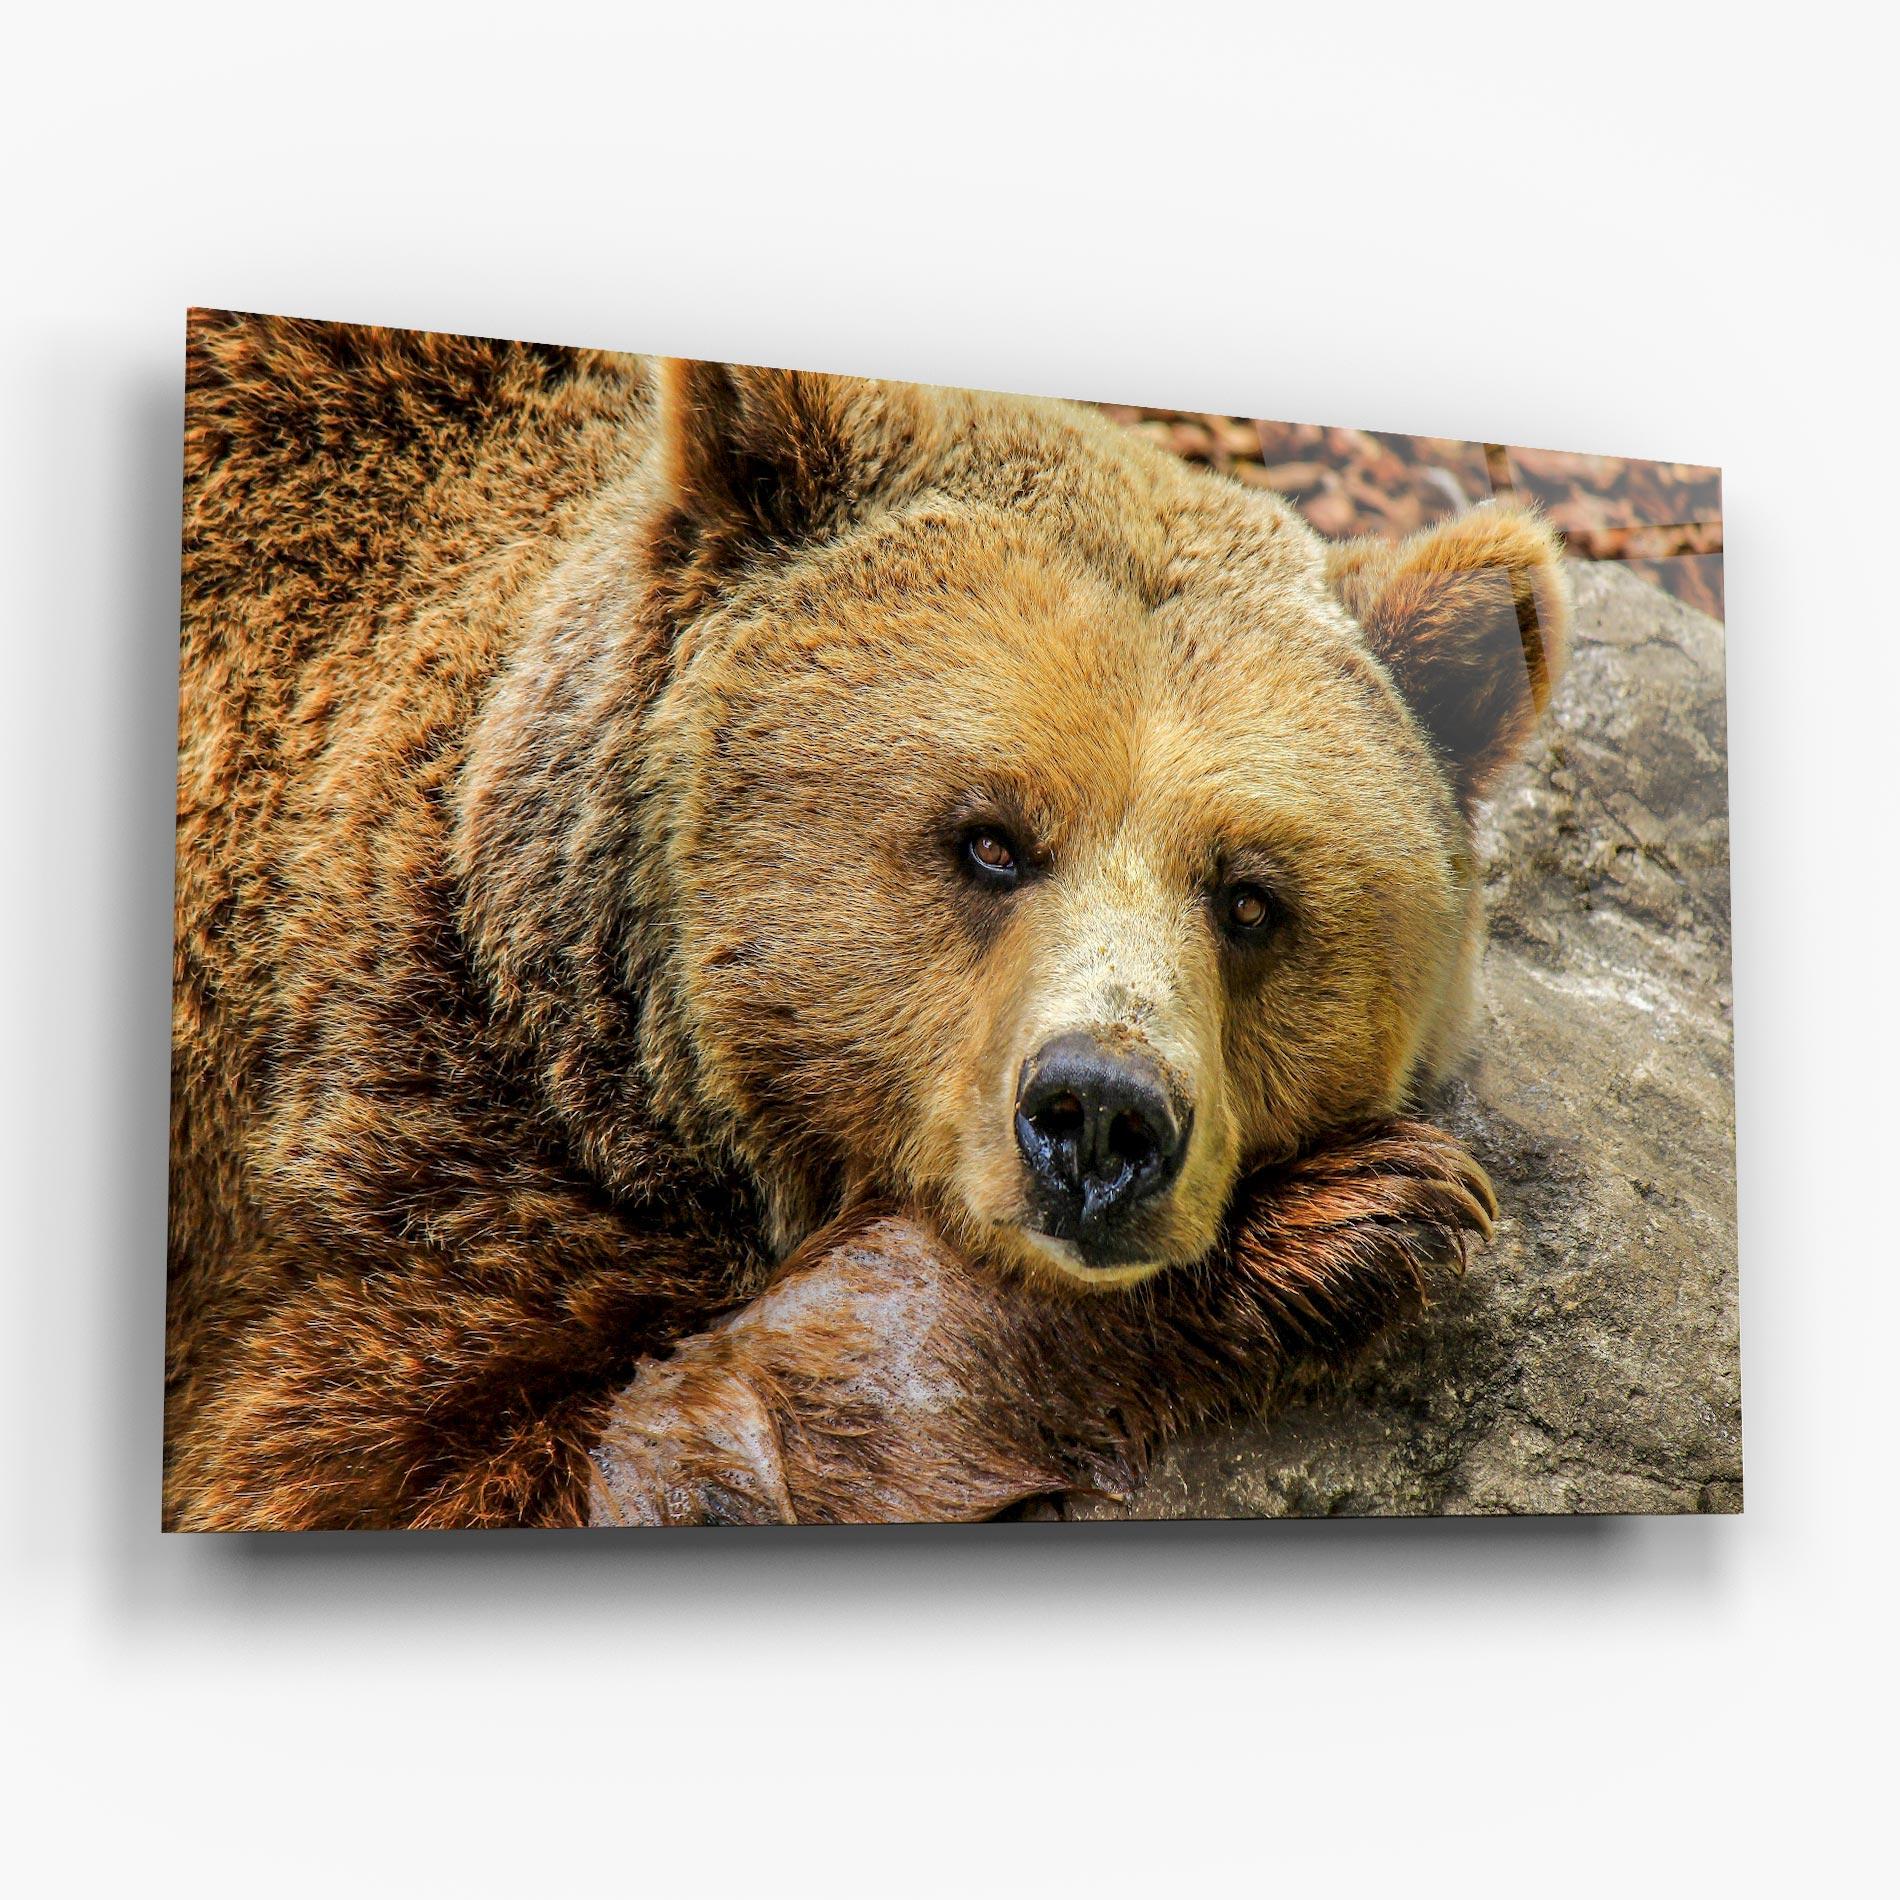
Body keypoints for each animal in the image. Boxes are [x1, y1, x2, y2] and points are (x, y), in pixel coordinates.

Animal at [165, 310, 1568, 1529]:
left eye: (1248, 895)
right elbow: (459, 1469)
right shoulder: (405, 1152)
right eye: (988, 838)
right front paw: (1344, 1220)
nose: (1099, 1118)